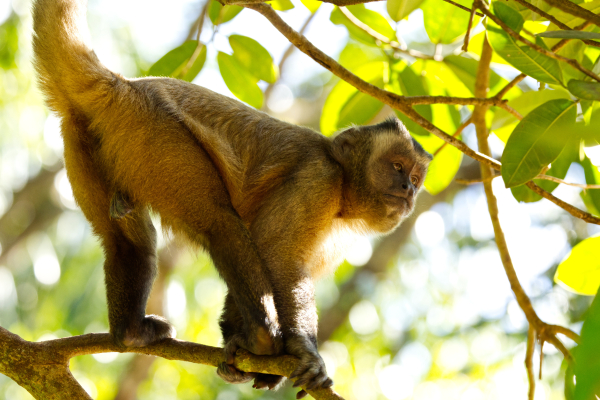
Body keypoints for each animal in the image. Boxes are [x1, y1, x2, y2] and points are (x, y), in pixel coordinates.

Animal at [31, 0, 432, 396]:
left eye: (414, 178)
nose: (408, 190)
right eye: (396, 166)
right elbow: (278, 260)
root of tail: (123, 86)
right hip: (154, 129)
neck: (343, 187)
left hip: (87, 138)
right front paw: (299, 350)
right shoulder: (318, 179)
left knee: (125, 241)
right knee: (219, 221)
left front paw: (245, 354)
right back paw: (262, 337)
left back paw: (131, 333)